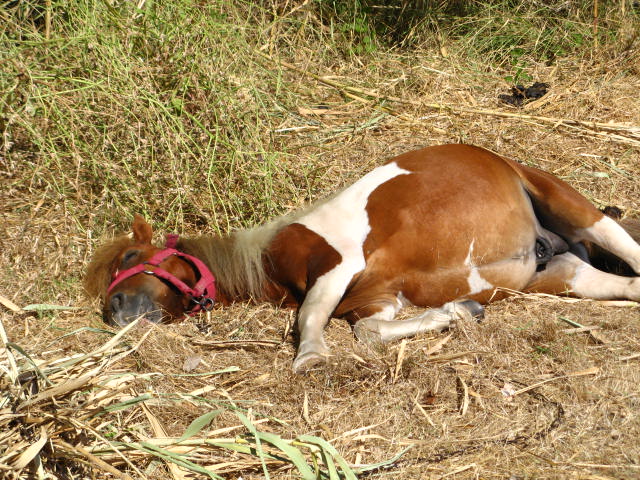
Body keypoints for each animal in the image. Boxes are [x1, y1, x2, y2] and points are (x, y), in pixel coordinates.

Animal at [85, 144, 640, 374]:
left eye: (131, 255)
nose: (116, 310)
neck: (270, 255)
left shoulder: (338, 267)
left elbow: (311, 316)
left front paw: (310, 357)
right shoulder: (379, 300)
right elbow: (370, 332)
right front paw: (459, 312)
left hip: (570, 206)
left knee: (621, 241)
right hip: (556, 274)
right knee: (622, 284)